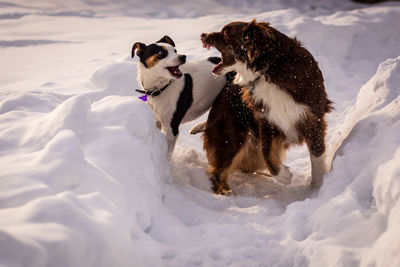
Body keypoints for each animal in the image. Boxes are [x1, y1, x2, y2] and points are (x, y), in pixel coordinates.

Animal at [202, 19, 332, 195]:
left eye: (226, 33)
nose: (202, 34)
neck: (267, 71)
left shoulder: (312, 117)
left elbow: (317, 156)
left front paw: (317, 189)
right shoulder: (266, 120)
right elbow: (267, 153)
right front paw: (284, 176)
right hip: (233, 138)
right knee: (219, 170)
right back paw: (224, 191)